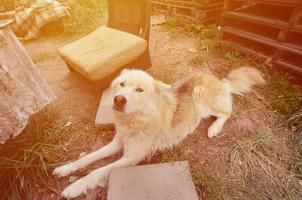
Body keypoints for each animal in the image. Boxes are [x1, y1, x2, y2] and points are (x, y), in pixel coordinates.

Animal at [53, 66, 266, 198]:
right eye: (122, 84)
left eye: (139, 90)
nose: (119, 99)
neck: (136, 119)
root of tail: (217, 79)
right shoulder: (117, 143)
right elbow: (88, 158)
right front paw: (65, 169)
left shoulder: (131, 158)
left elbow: (97, 170)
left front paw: (74, 187)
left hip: (201, 97)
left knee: (227, 112)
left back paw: (214, 128)